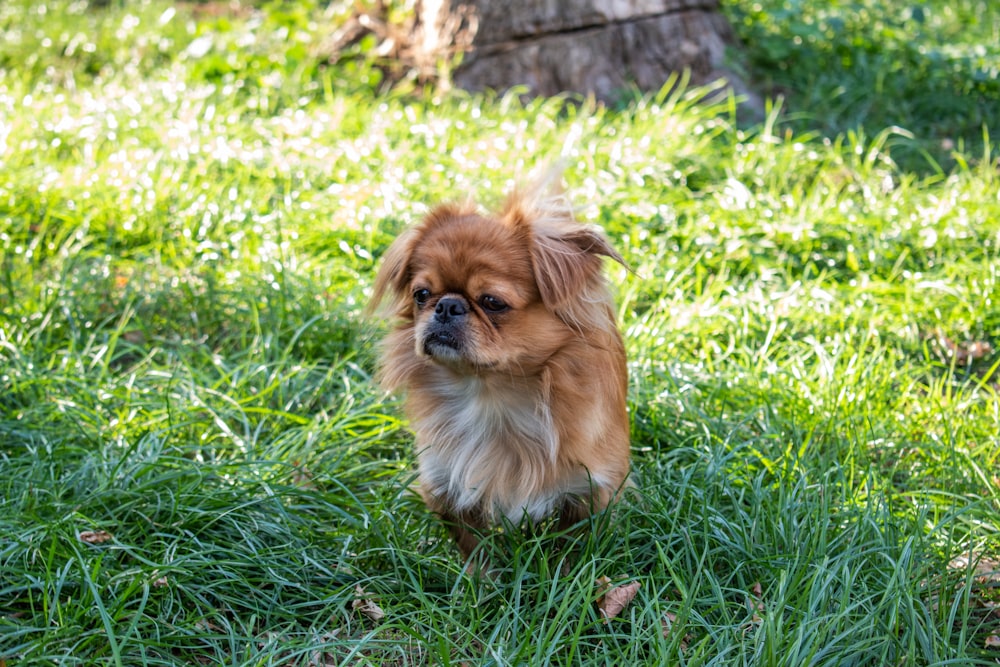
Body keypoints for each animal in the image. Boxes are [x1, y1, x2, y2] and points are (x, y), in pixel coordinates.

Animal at [372, 180, 628, 560]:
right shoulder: (447, 483)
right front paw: (481, 577)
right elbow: (475, 548)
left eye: (492, 302)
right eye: (421, 294)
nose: (447, 305)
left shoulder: (590, 490)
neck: (489, 394)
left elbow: (570, 550)